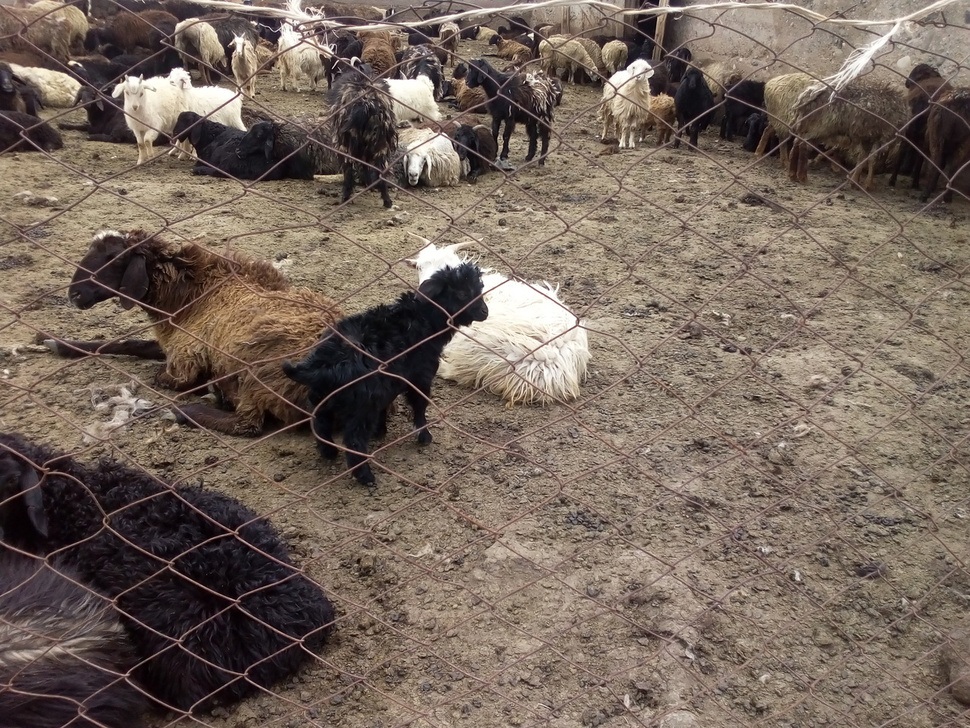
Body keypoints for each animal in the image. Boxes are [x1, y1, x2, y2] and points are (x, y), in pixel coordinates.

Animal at [284, 264, 488, 486]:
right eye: (463, 293)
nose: (485, 312)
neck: (424, 320)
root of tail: (322, 366)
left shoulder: (389, 383)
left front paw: (380, 431)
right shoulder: (420, 377)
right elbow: (420, 406)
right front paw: (424, 436)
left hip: (322, 398)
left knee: (320, 424)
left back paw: (329, 453)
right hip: (361, 405)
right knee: (354, 440)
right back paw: (365, 476)